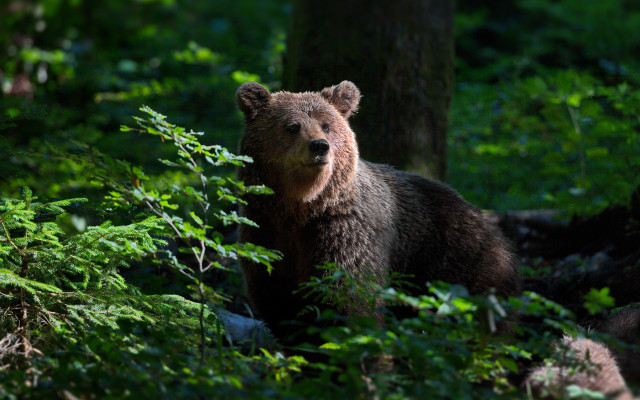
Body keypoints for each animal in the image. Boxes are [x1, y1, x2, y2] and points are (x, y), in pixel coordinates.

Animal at [235, 80, 520, 338]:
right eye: (292, 126)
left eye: (326, 125)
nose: (319, 146)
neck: (302, 208)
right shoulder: (265, 233)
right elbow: (278, 302)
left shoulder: (345, 232)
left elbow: (348, 297)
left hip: (457, 260)